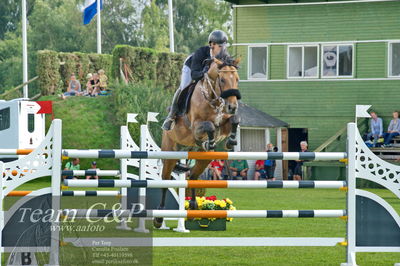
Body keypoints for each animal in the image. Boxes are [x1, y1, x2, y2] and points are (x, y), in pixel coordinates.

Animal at [153, 55, 241, 228]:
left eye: (237, 79)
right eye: (222, 80)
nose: (232, 106)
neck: (212, 100)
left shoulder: (224, 122)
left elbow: (234, 120)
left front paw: (231, 141)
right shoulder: (196, 127)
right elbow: (210, 126)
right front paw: (211, 141)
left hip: (203, 159)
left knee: (192, 176)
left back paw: (193, 207)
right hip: (170, 153)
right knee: (165, 180)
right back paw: (159, 217)